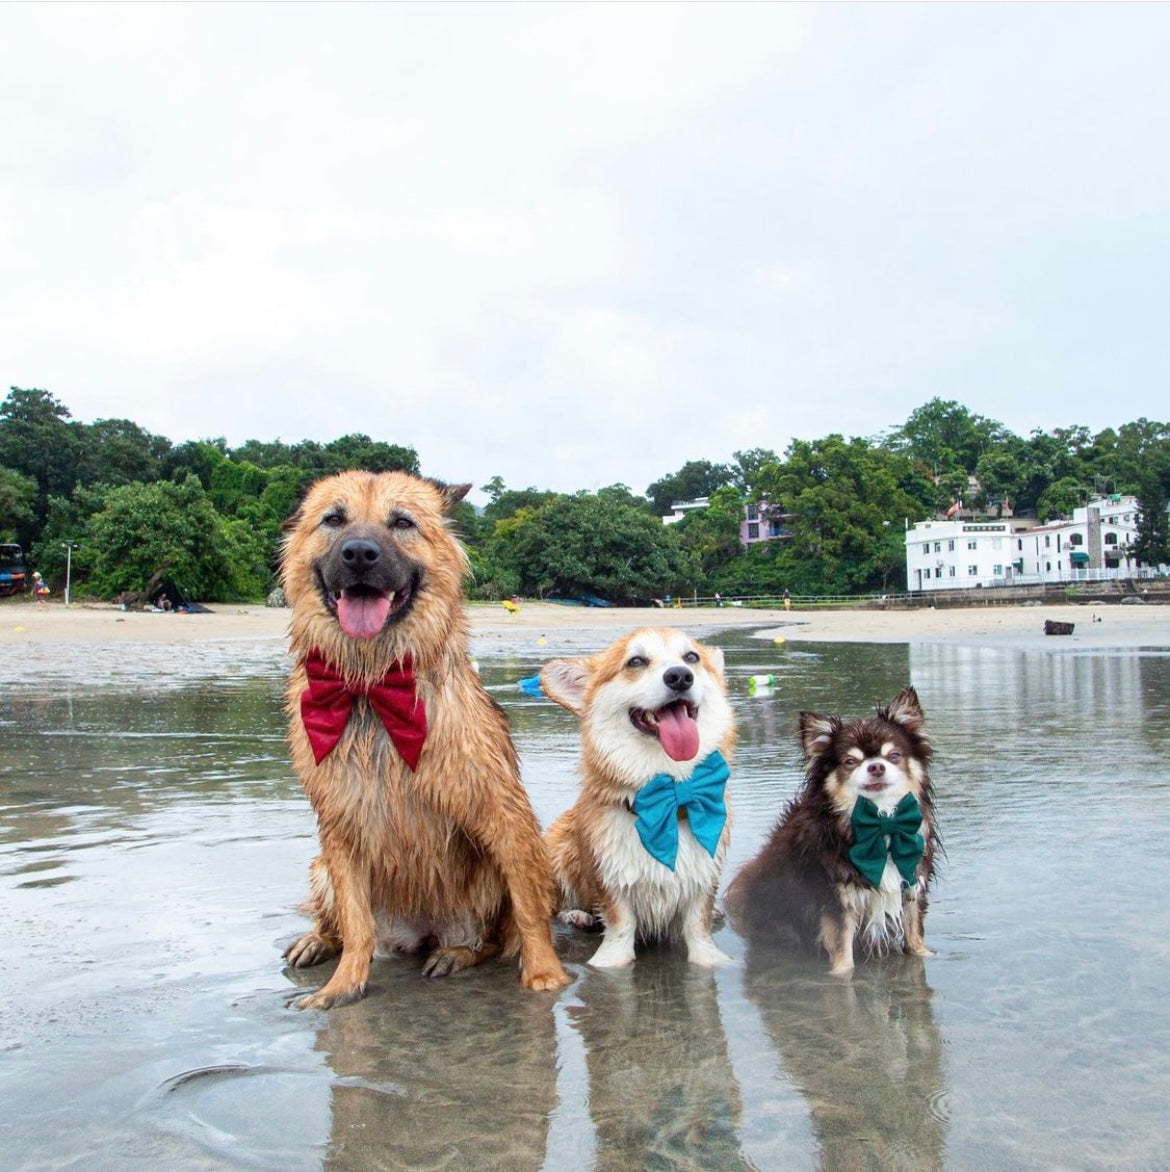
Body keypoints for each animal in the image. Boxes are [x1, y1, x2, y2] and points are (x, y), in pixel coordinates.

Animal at [275, 466, 567, 1007]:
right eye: (333, 519)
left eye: (402, 522)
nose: (359, 553)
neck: (370, 684)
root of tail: (421, 934)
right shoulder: (339, 825)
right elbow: (356, 922)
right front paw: (343, 985)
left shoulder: (503, 815)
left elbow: (529, 910)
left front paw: (543, 973)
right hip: (321, 865)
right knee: (340, 922)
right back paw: (317, 941)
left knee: (487, 938)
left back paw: (456, 953)